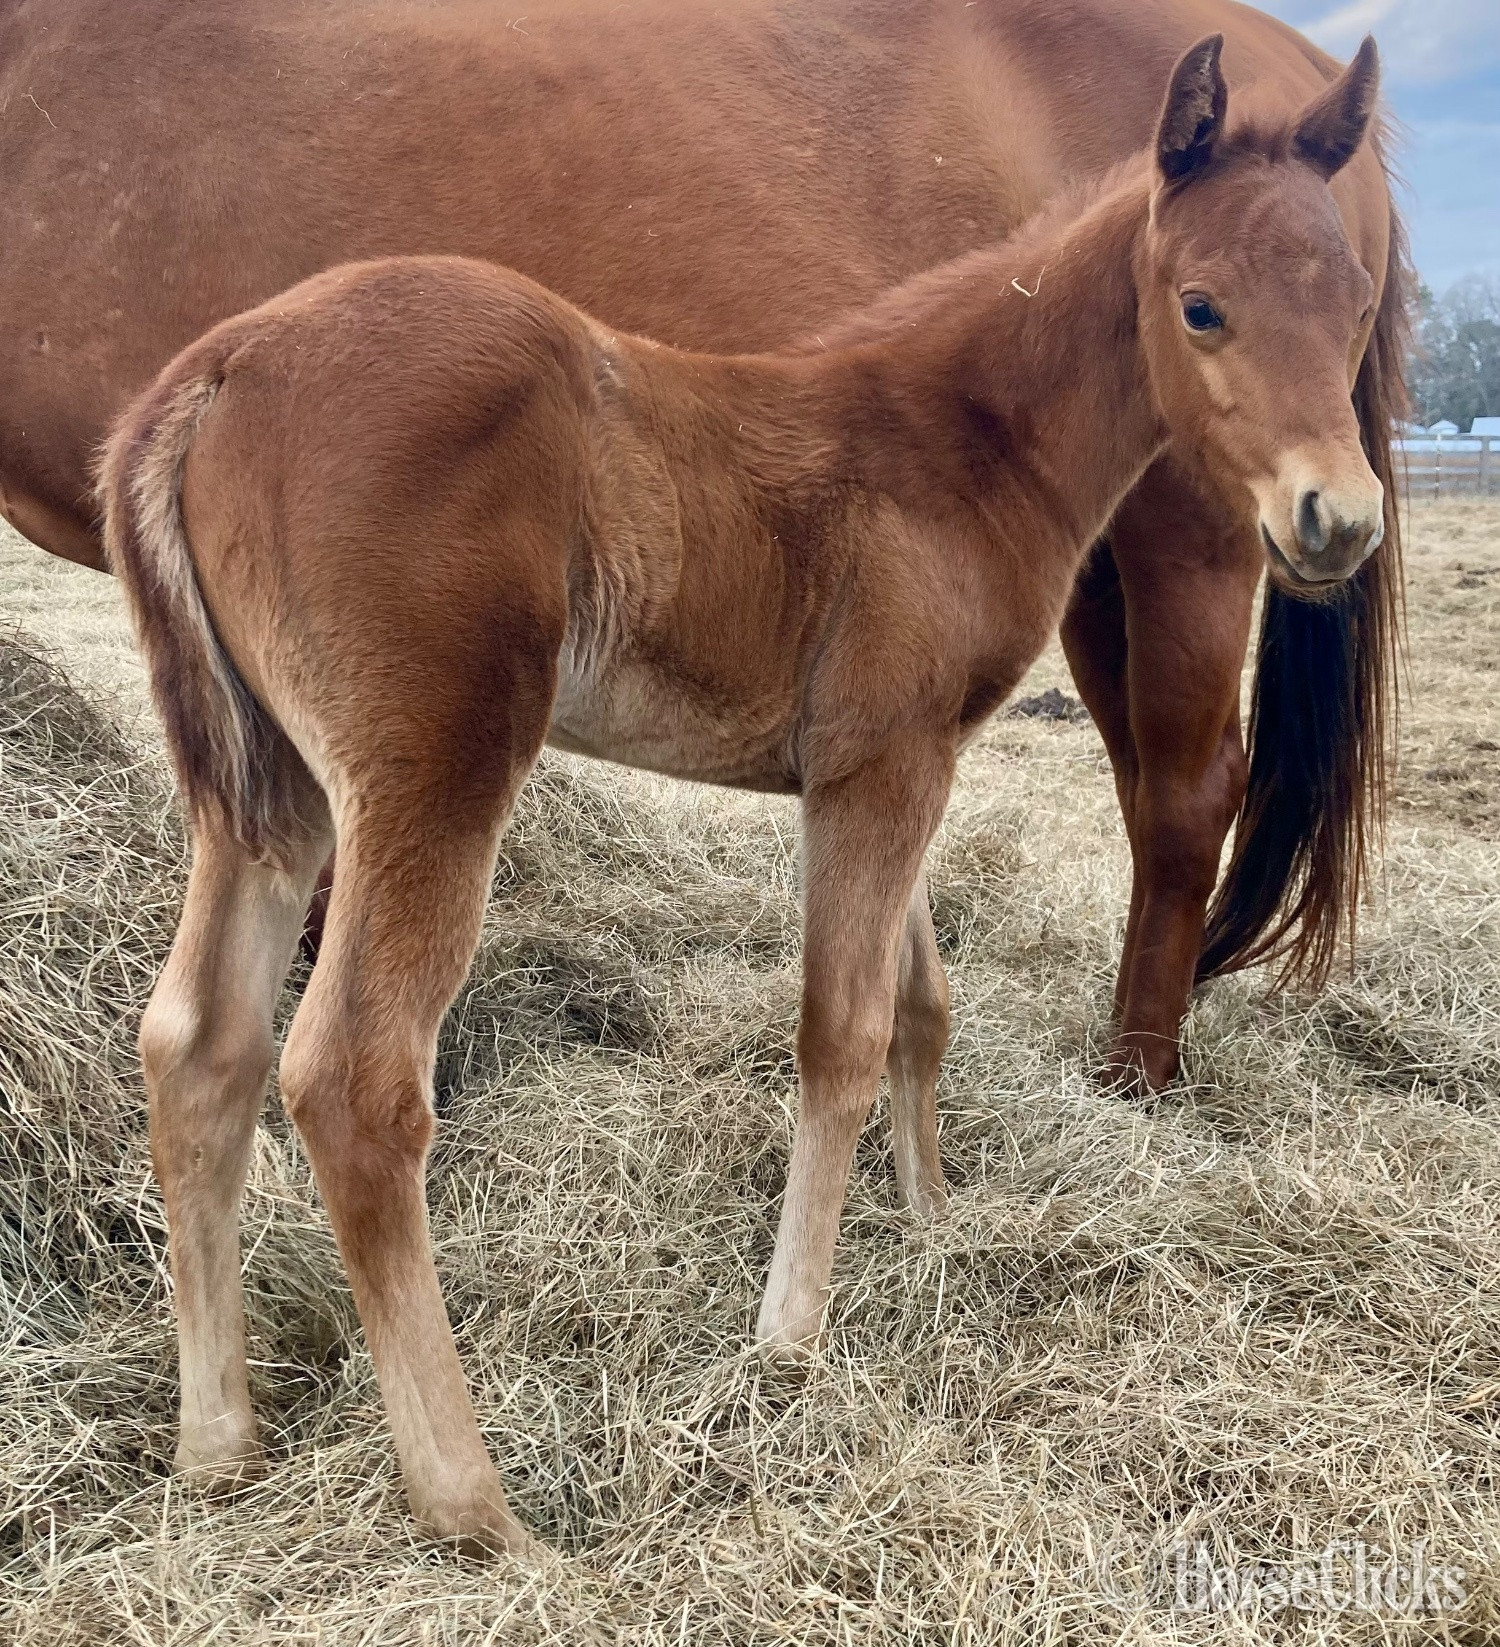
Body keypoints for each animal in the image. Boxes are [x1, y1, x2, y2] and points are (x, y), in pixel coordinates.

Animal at [0, 0, 1407, 1093]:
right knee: (1153, 786)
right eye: (1202, 307)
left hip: (1192, 538)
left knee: (1186, 794)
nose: (1340, 517)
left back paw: (1139, 1078)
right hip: (1110, 573)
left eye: (1345, 309)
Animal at [102, 38, 1386, 1553]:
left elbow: (920, 1003)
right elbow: (842, 1033)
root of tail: (219, 364)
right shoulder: (878, 763)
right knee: (353, 1078)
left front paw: (935, 1222)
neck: (955, 443)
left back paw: (218, 1445)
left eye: (1356, 310)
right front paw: (790, 1339)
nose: (1338, 523)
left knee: (199, 1047)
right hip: (430, 769)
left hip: (271, 790)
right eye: (1202, 307)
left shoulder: (903, 761)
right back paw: (479, 1507)